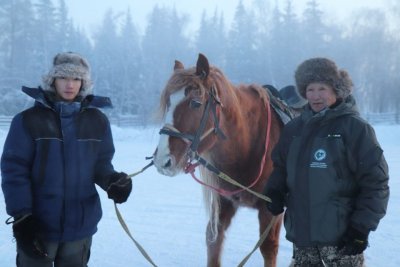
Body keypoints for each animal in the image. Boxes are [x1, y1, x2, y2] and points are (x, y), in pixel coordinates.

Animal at [152, 53, 284, 266]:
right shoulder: (224, 202)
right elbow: (214, 239)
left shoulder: (271, 210)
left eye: (195, 103)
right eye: (169, 102)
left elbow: (268, 247)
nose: (162, 159)